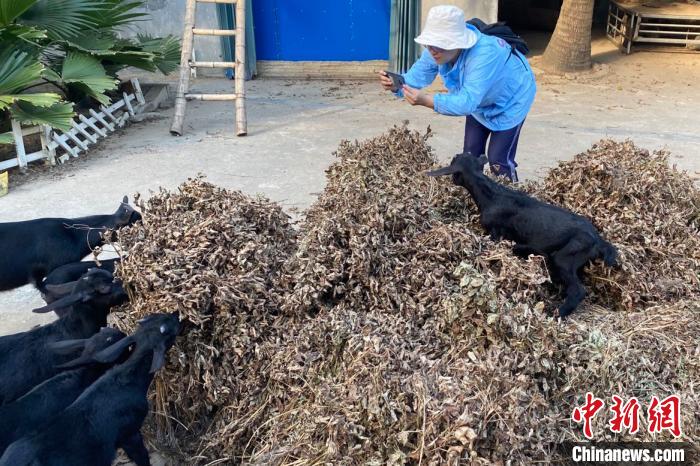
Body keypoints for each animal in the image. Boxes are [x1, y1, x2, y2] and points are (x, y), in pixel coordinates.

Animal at [426, 153, 616, 316]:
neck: (491, 193)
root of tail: (599, 240)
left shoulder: (495, 233)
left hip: (564, 258)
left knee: (578, 291)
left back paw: (558, 313)